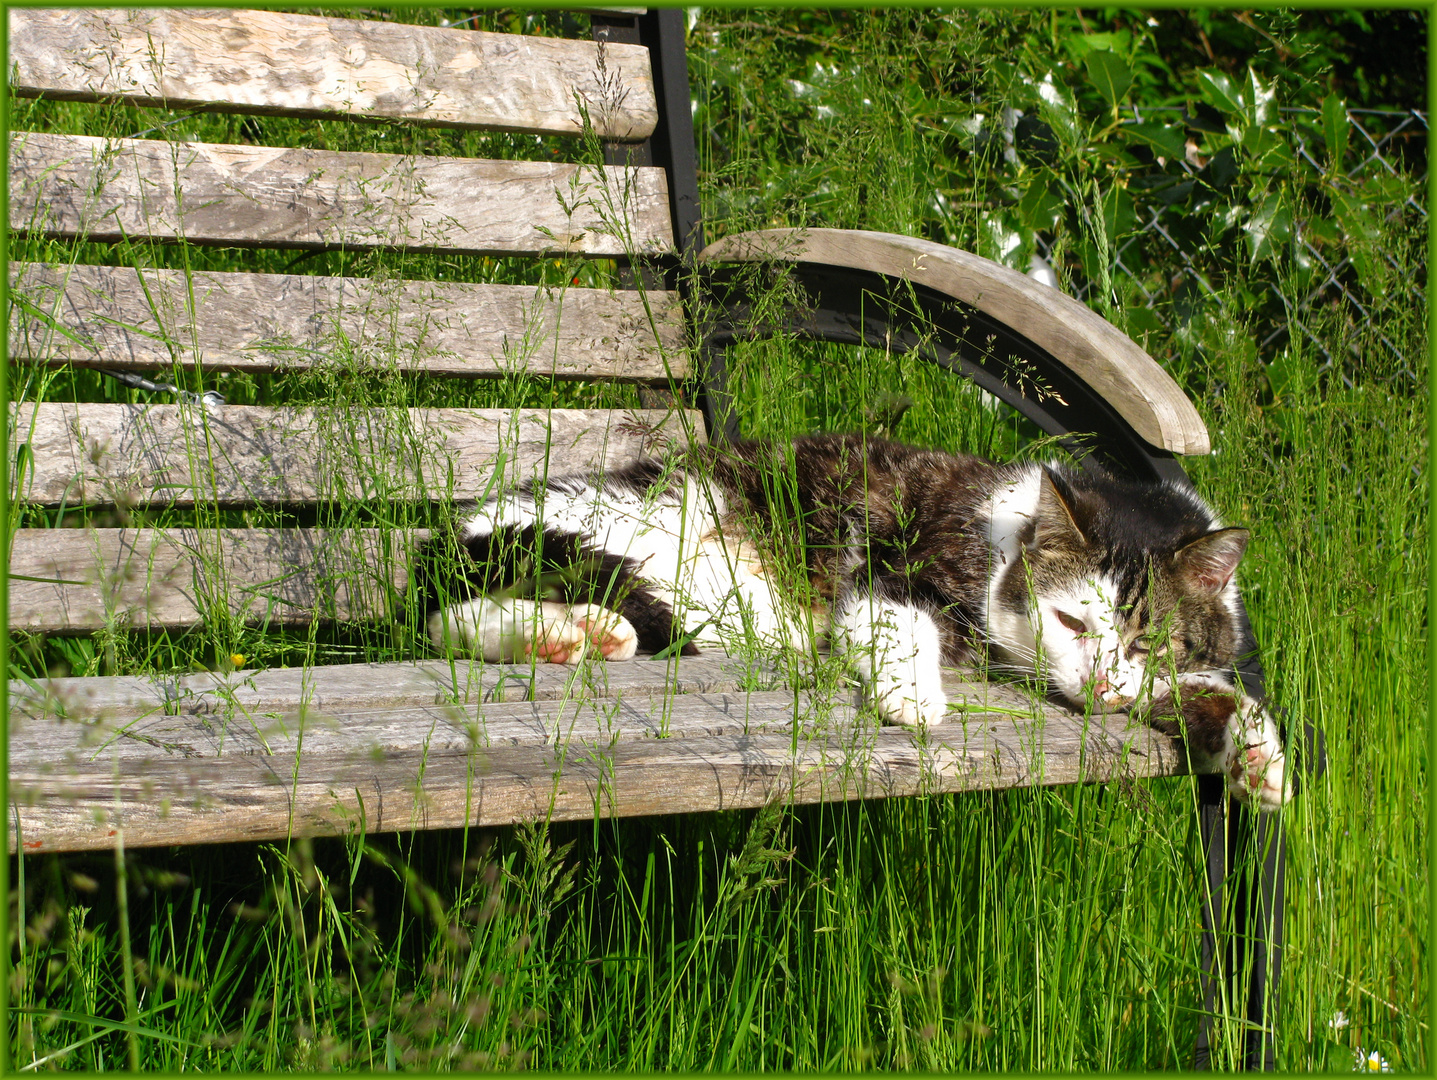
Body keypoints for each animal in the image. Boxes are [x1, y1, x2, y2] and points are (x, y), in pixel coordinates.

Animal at [416, 430, 1293, 810]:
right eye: (1072, 622)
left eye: (1148, 642)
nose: (1104, 683)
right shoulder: (895, 577)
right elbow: (898, 625)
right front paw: (914, 698)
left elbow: (1229, 695)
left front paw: (1263, 766)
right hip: (620, 531)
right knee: (441, 615)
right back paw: (566, 631)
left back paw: (580, 635)